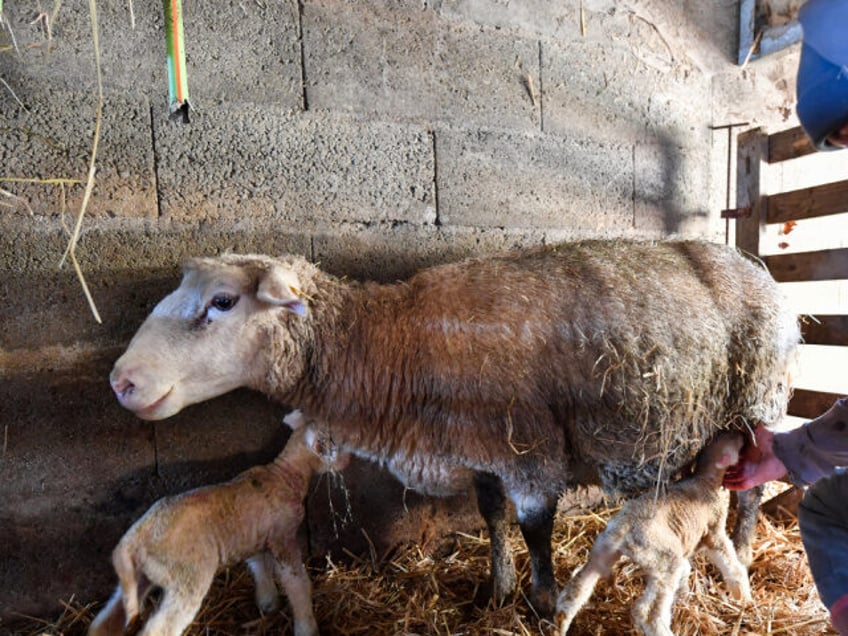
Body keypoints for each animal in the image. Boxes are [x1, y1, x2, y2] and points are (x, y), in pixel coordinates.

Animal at [86, 410, 344, 636]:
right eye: (336, 443)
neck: (285, 474)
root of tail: (132, 542)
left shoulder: (257, 537)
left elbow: (259, 567)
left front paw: (268, 603)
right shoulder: (284, 538)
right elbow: (297, 584)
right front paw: (307, 627)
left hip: (137, 578)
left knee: (104, 623)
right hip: (186, 579)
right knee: (159, 629)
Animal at [556, 432, 756, 636]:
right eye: (733, 439)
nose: (743, 434)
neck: (705, 479)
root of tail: (622, 530)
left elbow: (686, 570)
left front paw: (684, 596)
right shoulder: (715, 532)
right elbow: (733, 566)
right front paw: (743, 597)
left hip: (604, 553)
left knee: (574, 592)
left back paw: (559, 625)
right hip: (664, 560)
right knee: (647, 612)